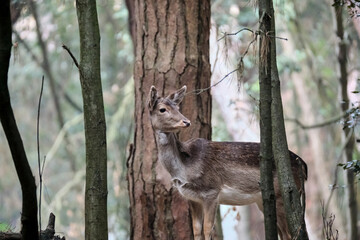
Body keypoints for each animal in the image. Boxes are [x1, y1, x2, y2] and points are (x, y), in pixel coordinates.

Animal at [148, 85, 308, 239]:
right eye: (162, 109)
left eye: (178, 107)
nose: (186, 121)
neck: (185, 168)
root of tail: (304, 166)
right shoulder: (191, 198)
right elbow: (197, 230)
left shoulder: (211, 191)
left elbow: (207, 230)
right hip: (265, 201)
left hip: (283, 194)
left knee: (290, 234)